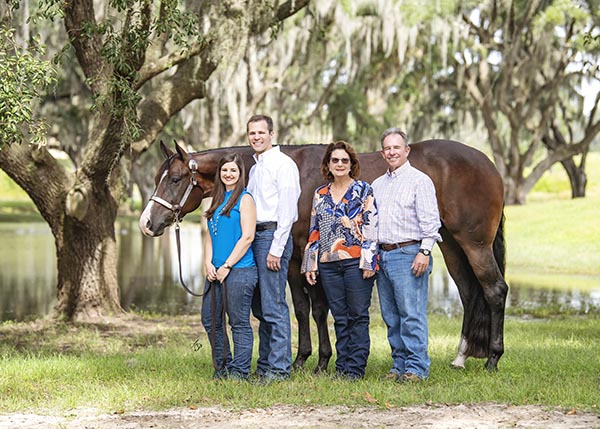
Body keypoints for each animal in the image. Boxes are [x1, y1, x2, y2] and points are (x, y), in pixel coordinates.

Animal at [139, 140, 506, 372]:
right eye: (157, 178)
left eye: (175, 179)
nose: (147, 223)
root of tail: (489, 164)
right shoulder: (298, 261)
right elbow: (307, 311)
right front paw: (310, 359)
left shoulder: (297, 258)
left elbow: (312, 310)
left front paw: (313, 360)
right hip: (452, 245)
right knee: (470, 293)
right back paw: (461, 358)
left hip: (474, 243)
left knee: (494, 291)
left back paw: (493, 359)